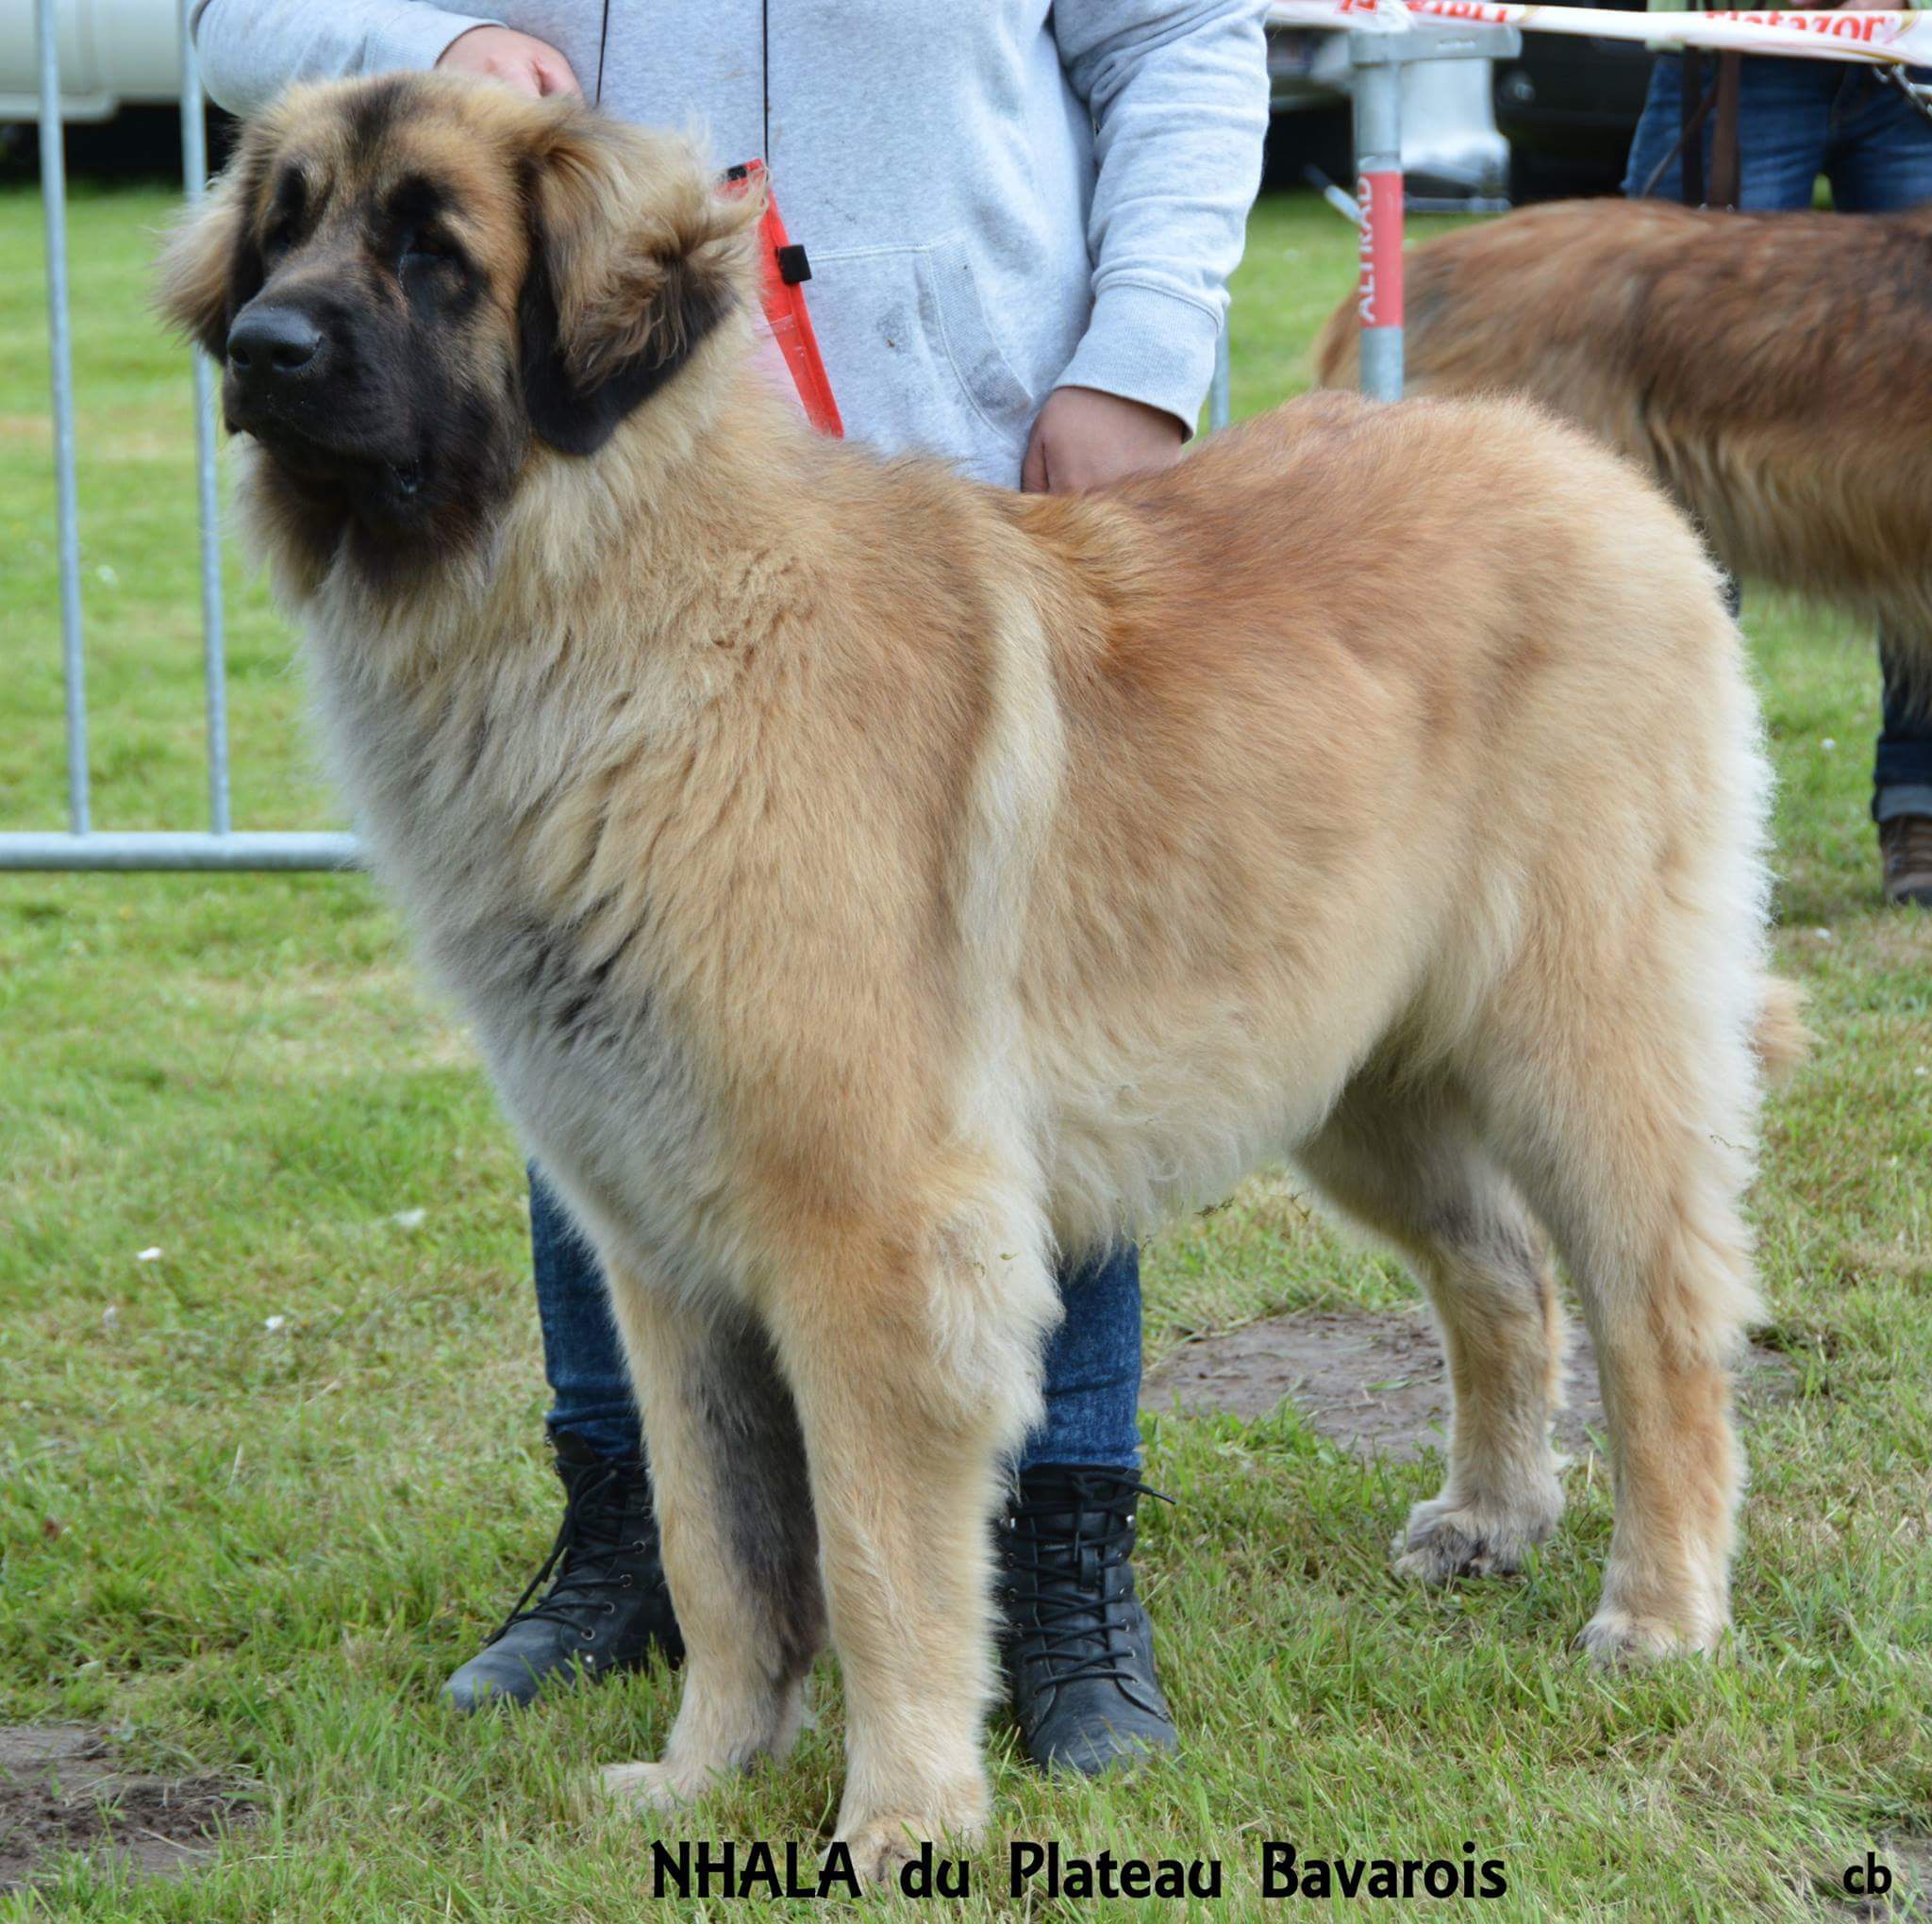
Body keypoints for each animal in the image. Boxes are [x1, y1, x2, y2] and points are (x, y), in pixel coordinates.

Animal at [158, 75, 1800, 1877]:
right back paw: (1495, 1518)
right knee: (1500, 1273)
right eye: (284, 227)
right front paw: (703, 1775)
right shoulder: (659, 1249)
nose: (264, 347)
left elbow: (877, 1558)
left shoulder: (874, 1237)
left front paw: (902, 1816)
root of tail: (1587, 472)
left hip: (1580, 1046)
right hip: (1347, 1073)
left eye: (431, 250)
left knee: (1657, 1317)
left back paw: (1657, 1613)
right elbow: (716, 1546)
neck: (627, 606)